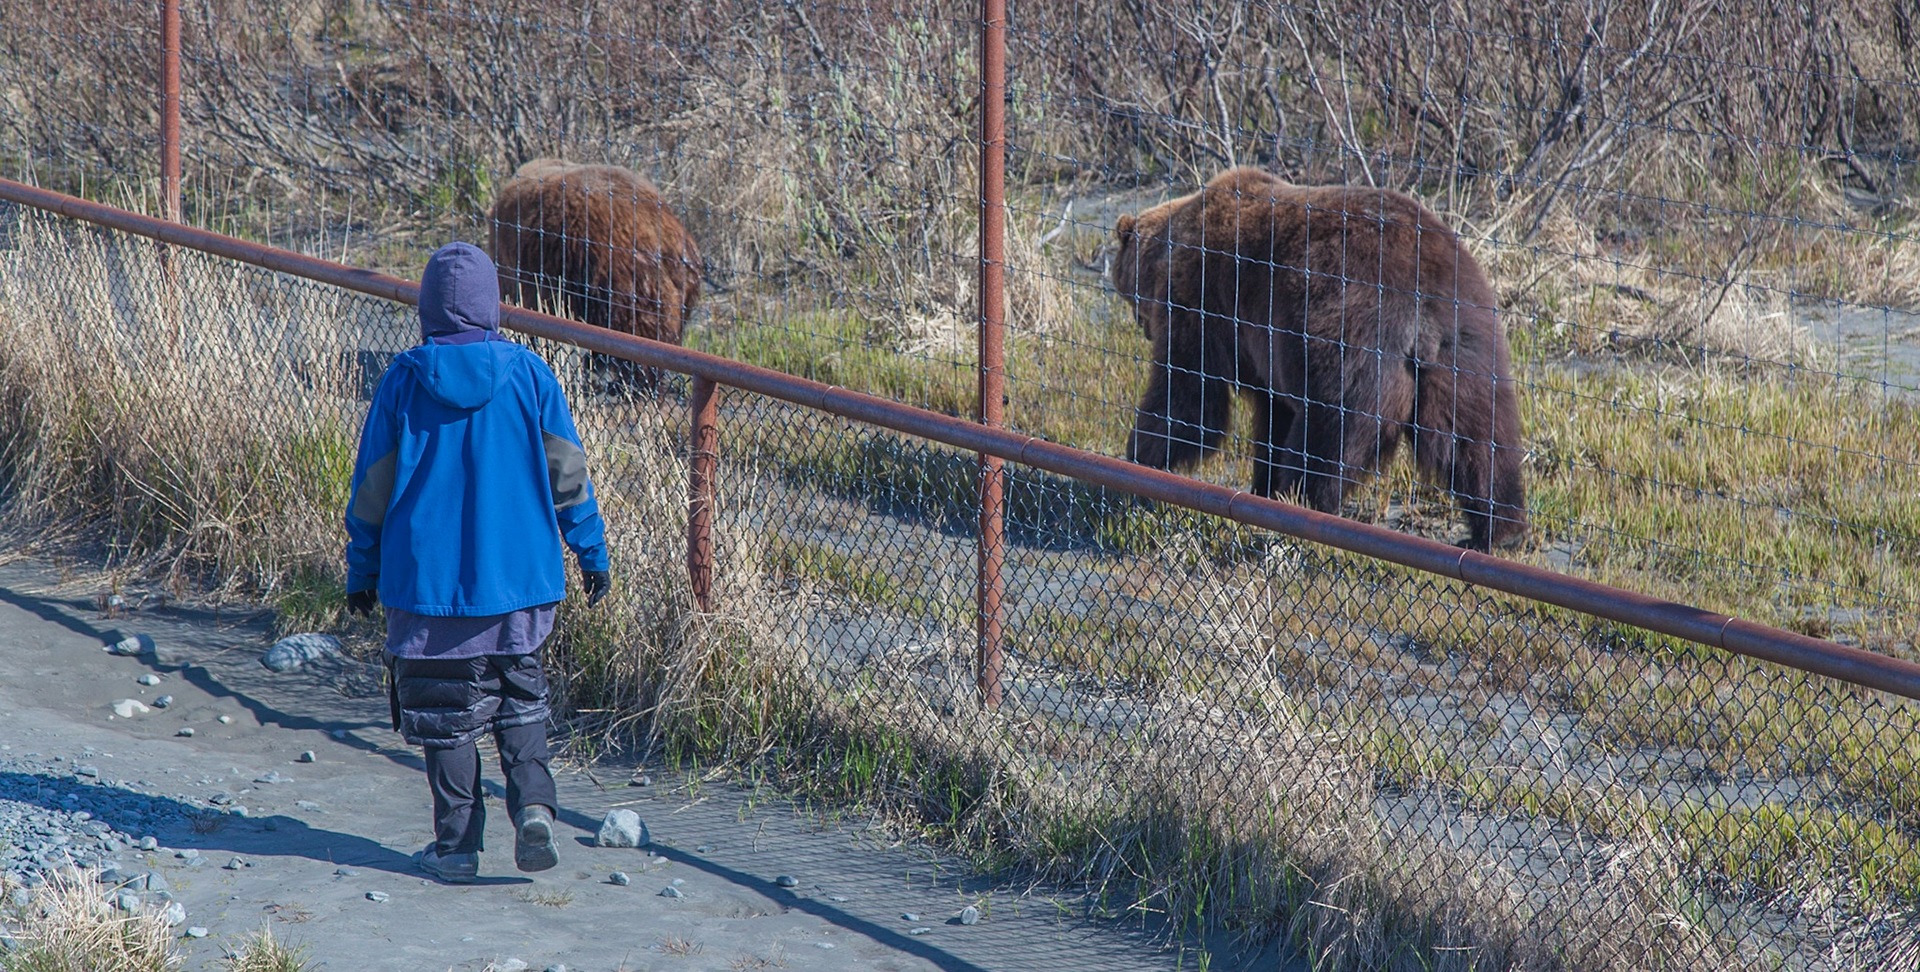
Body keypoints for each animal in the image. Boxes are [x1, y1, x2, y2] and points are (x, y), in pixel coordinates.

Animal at [1111, 167, 1527, 551]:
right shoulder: (1263, 348)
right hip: (1466, 346)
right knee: (1477, 437)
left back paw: (1300, 506)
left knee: (1326, 434)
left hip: (1344, 338)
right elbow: (1272, 414)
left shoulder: (1201, 296)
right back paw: (1496, 530)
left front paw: (1137, 464)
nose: (1142, 327)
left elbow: (1189, 399)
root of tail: (1420, 307)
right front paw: (1261, 485)